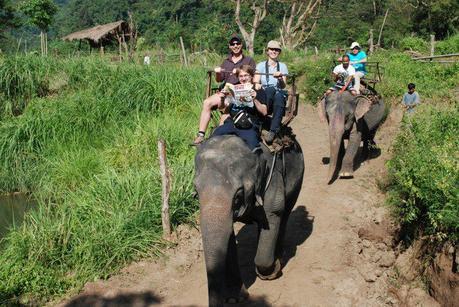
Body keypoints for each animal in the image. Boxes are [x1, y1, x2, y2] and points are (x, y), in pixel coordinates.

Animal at [194, 135, 306, 307]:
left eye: (238, 196)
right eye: (196, 191)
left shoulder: (272, 179)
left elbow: (273, 215)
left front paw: (272, 271)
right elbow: (229, 235)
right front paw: (234, 298)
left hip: (299, 176)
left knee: (285, 214)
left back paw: (279, 256)